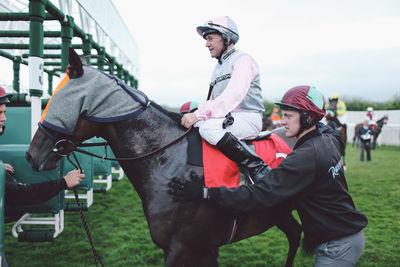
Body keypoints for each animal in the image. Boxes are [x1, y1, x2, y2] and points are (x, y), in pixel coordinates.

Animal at [25, 48, 300, 267]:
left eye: (58, 101)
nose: (31, 156)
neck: (168, 161)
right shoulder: (204, 247)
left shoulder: (183, 248)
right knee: (295, 233)